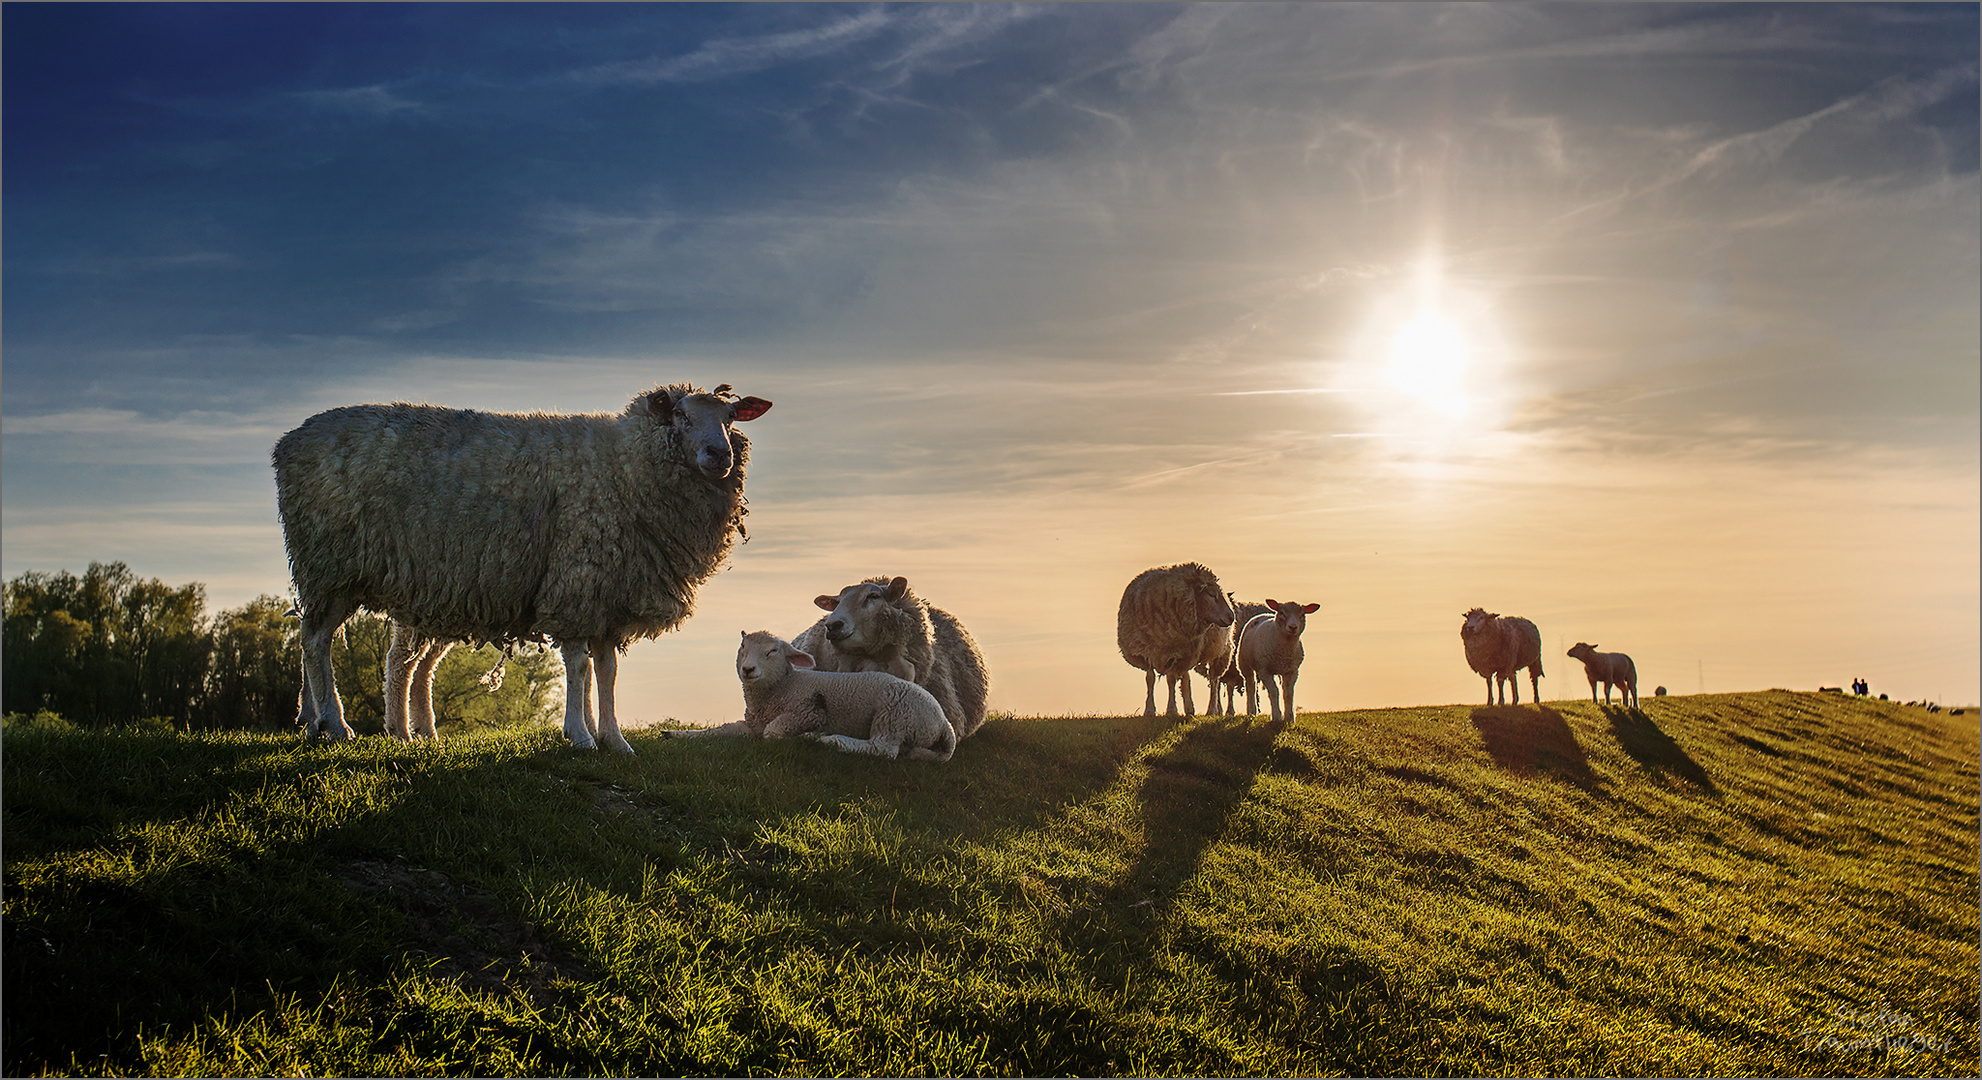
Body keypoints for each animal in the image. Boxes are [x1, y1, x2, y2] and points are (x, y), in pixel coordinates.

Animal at [275, 380, 769, 749]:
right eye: (682, 416)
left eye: (729, 418)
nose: (720, 456)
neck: (628, 465)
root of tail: (289, 441)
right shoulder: (577, 578)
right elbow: (579, 666)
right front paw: (579, 736)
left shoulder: (610, 592)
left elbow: (606, 671)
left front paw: (613, 739)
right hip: (328, 564)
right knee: (320, 643)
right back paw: (337, 724)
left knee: (338, 646)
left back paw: (330, 723)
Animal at [733, 626, 955, 760]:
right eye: (743, 647)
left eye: (772, 652)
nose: (748, 669)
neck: (783, 686)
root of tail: (945, 724)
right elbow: (737, 729)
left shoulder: (807, 712)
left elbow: (770, 732)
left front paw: (802, 735)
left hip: (896, 713)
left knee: (883, 748)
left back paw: (830, 740)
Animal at [1117, 562, 1236, 717]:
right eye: (1211, 594)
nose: (1231, 616)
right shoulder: (1146, 651)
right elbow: (1150, 679)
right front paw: (1149, 710)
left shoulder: (1174, 653)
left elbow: (1171, 679)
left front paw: (1171, 710)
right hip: (1188, 652)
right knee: (1186, 677)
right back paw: (1189, 708)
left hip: (1218, 651)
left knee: (1214, 680)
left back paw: (1212, 710)